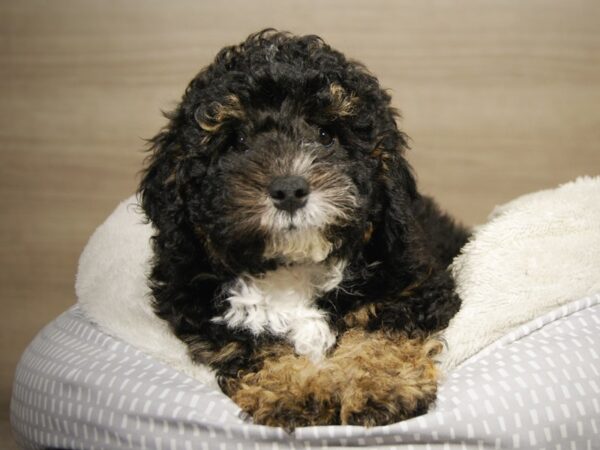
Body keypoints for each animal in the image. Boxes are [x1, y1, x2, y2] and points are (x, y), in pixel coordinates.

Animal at [141, 29, 468, 428]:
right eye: (236, 142)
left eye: (326, 134)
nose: (289, 189)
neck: (293, 267)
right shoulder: (205, 312)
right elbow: (258, 346)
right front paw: (297, 390)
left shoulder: (415, 285)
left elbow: (381, 331)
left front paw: (378, 385)